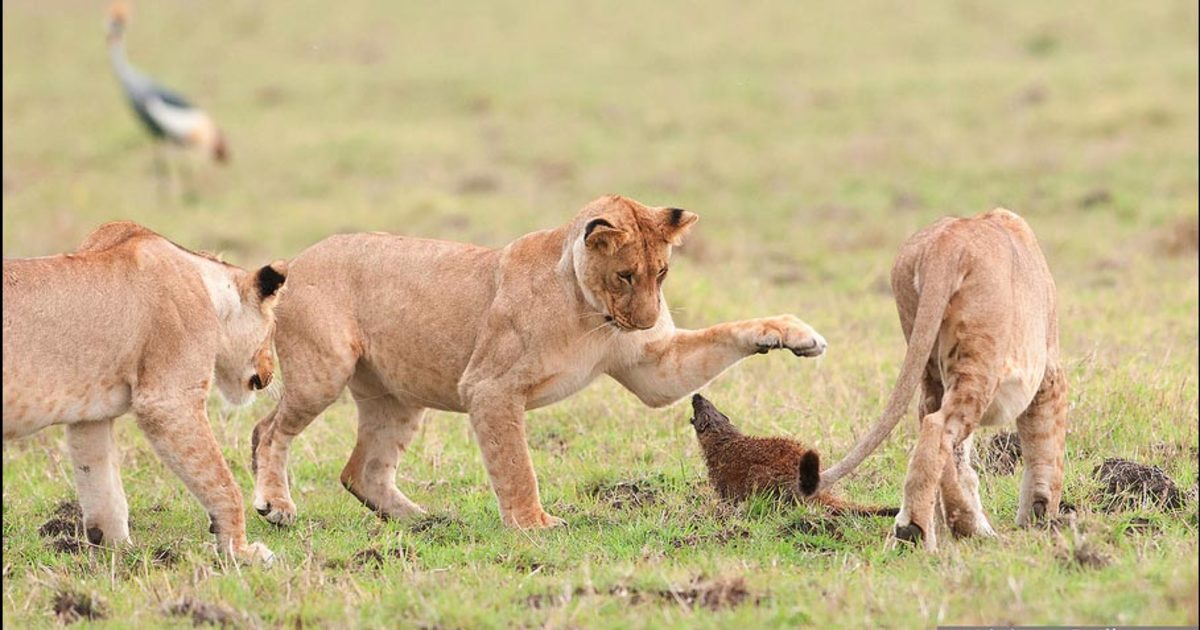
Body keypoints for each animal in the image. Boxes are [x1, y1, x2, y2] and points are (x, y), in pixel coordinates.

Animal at [2, 219, 285, 559]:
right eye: (272, 331)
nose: (270, 373)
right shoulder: (168, 400)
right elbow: (221, 482)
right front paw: (241, 552)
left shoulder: (91, 418)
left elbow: (104, 490)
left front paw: (120, 553)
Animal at [255, 194, 825, 528]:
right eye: (625, 275)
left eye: (661, 272)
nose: (646, 322)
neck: (589, 313)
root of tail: (298, 259)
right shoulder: (489, 388)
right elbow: (516, 466)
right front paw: (534, 526)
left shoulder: (654, 369)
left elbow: (727, 333)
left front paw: (794, 335)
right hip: (323, 372)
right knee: (267, 431)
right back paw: (276, 505)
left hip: (397, 397)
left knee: (362, 471)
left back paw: (426, 520)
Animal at [820, 208, 1065, 547]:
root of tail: (945, 244)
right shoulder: (1048, 372)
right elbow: (1047, 446)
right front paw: (1041, 516)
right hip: (981, 360)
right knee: (939, 428)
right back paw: (916, 531)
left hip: (929, 359)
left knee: (935, 427)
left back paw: (956, 526)